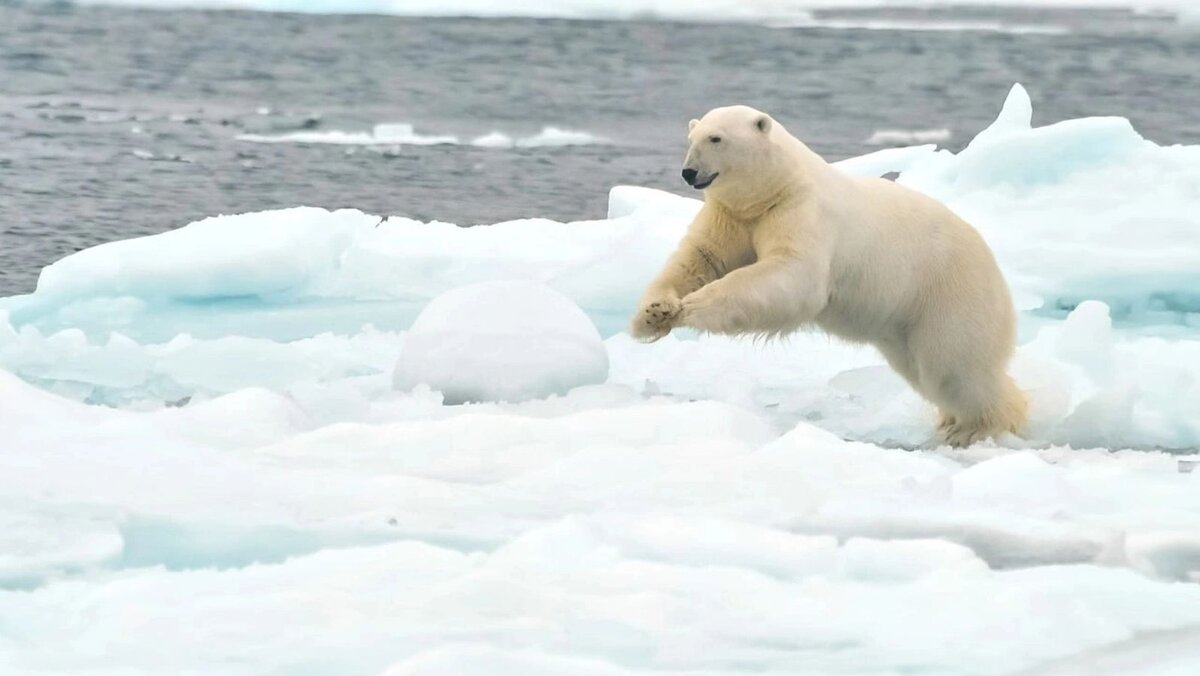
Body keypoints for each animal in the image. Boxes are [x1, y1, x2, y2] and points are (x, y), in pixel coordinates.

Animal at [633, 104, 1027, 449]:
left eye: (716, 138)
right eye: (691, 137)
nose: (688, 172)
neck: (776, 186)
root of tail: (995, 267)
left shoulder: (801, 213)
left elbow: (793, 276)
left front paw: (692, 306)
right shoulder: (733, 216)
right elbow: (700, 257)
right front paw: (654, 314)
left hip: (949, 294)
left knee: (955, 368)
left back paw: (977, 427)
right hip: (905, 325)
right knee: (925, 371)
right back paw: (951, 422)